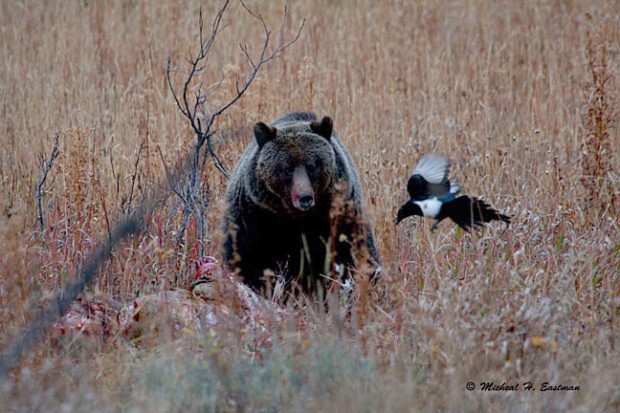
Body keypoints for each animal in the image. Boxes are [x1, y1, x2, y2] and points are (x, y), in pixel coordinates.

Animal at [220, 111, 380, 294]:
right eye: (286, 169)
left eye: (311, 166)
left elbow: (352, 252)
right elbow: (247, 258)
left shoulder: (340, 213)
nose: (305, 198)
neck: (296, 218)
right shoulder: (254, 216)